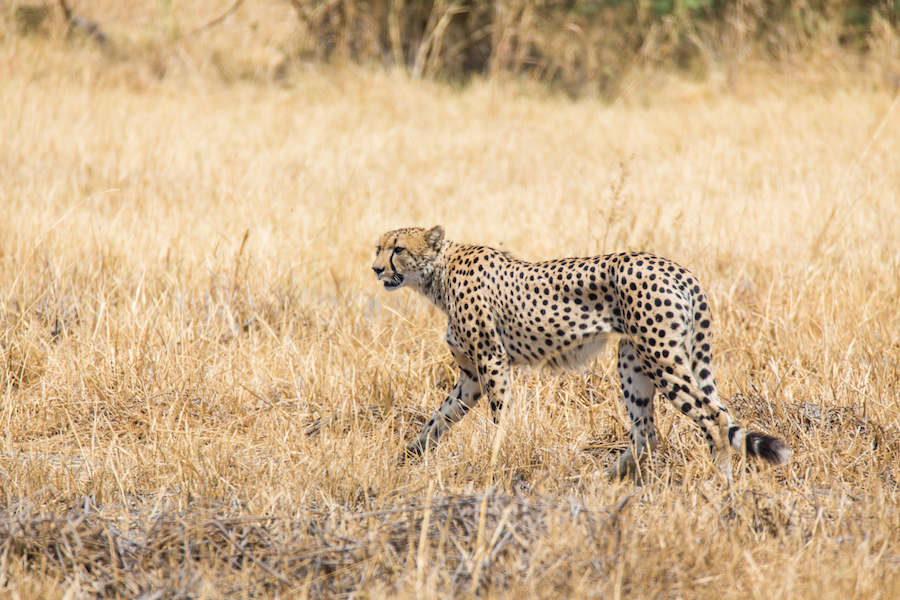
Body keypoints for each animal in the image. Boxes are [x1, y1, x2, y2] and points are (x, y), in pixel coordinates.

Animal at [372, 226, 788, 482]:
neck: (439, 273)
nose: (376, 269)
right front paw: (404, 459)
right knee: (648, 433)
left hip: (662, 356)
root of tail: (680, 270)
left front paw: (494, 462)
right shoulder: (471, 376)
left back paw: (720, 485)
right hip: (633, 359)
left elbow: (499, 419)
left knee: (714, 418)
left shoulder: (492, 362)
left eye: (398, 249)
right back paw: (600, 481)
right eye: (378, 247)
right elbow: (437, 420)